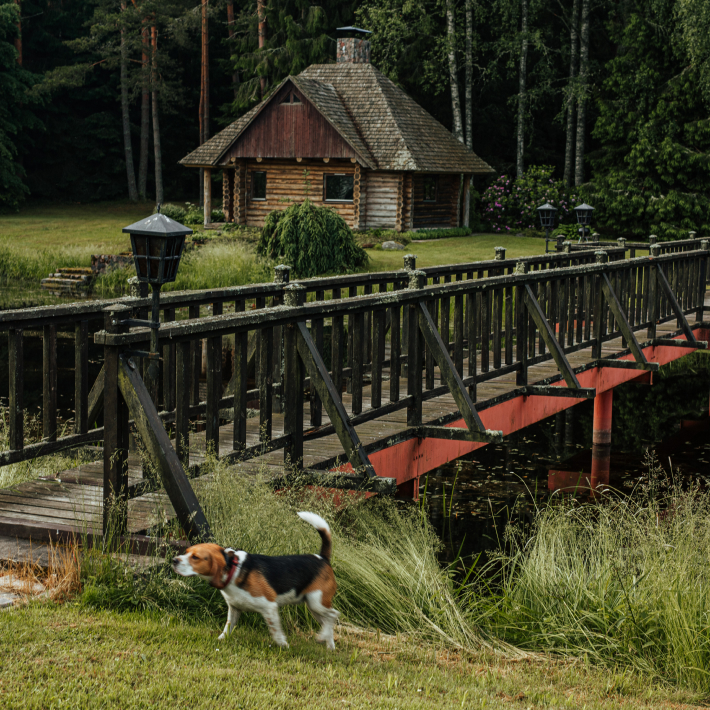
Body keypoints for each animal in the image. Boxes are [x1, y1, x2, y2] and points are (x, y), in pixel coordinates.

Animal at [172, 512, 340, 652]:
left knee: (333, 615)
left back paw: (321, 637)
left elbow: (275, 631)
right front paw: (221, 639)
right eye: (186, 552)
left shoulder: (270, 607)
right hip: (314, 607)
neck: (234, 569)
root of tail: (322, 558)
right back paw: (330, 646)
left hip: (316, 602)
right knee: (328, 621)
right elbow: (228, 627)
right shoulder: (234, 608)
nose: (174, 560)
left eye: (195, 557)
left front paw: (283, 645)